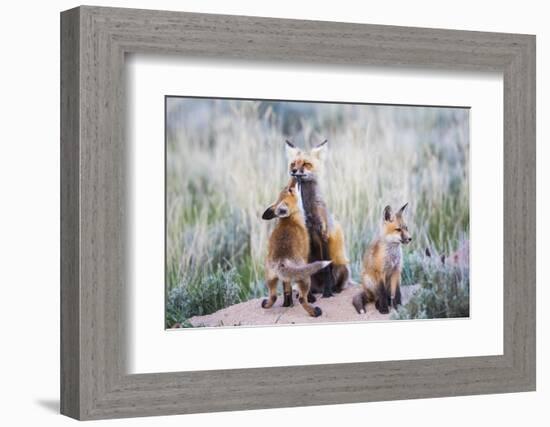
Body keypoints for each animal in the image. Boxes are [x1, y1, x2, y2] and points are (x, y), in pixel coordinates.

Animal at [260, 178, 330, 318]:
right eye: (290, 189)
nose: (296, 177)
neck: (290, 219)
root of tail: (281, 261)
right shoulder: (306, 255)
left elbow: (286, 290)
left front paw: (287, 304)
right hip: (304, 277)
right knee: (302, 298)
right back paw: (314, 311)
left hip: (270, 279)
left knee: (273, 296)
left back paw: (267, 304)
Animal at [286, 140, 352, 298]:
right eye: (293, 164)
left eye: (306, 164)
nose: (294, 171)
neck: (309, 213)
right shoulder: (305, 237)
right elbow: (306, 271)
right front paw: (308, 297)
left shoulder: (323, 233)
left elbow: (326, 268)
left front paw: (328, 293)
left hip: (342, 267)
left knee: (341, 283)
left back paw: (334, 289)